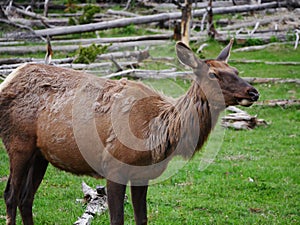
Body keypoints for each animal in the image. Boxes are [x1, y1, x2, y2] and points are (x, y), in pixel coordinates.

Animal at [0, 40, 258, 225]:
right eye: (213, 74)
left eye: (236, 69)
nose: (253, 92)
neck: (159, 134)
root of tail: (7, 81)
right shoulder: (114, 167)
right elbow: (117, 220)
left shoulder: (143, 174)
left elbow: (141, 218)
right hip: (18, 143)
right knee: (11, 195)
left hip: (40, 154)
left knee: (26, 198)